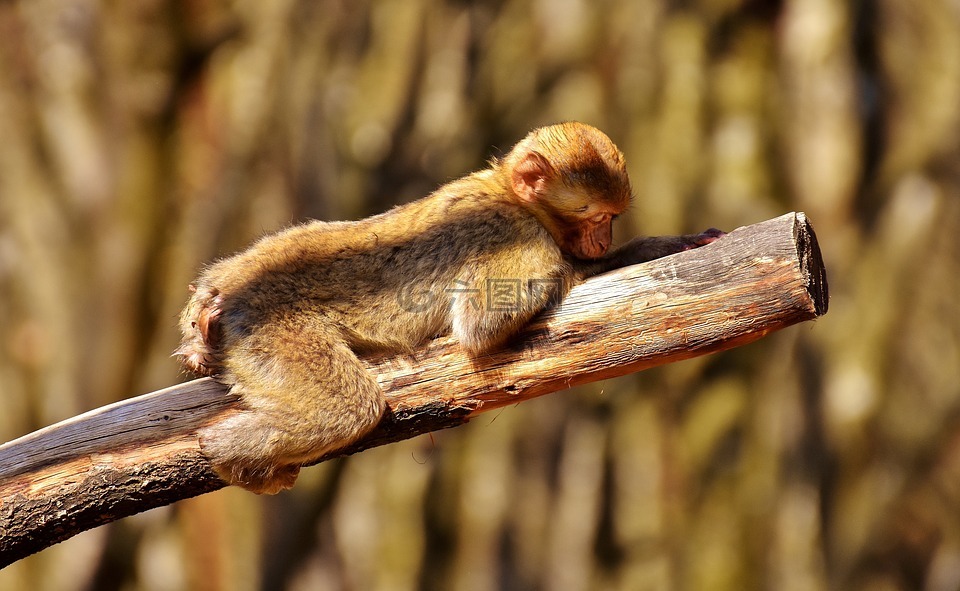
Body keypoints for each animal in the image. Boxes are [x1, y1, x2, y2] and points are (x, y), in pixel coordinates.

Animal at [178, 122, 723, 494]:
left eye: (612, 218)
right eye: (594, 215)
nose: (603, 238)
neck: (509, 194)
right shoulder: (516, 234)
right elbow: (483, 324)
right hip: (270, 329)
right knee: (348, 409)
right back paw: (224, 450)